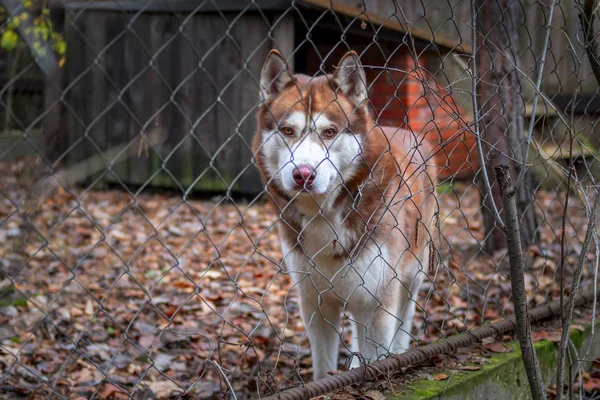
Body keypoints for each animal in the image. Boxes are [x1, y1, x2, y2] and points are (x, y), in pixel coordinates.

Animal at [251, 50, 438, 382]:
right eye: (287, 131)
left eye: (329, 132)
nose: (303, 174)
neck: (323, 217)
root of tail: (405, 131)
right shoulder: (315, 305)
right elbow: (323, 367)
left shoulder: (378, 300)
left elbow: (378, 351)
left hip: (412, 273)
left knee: (404, 317)